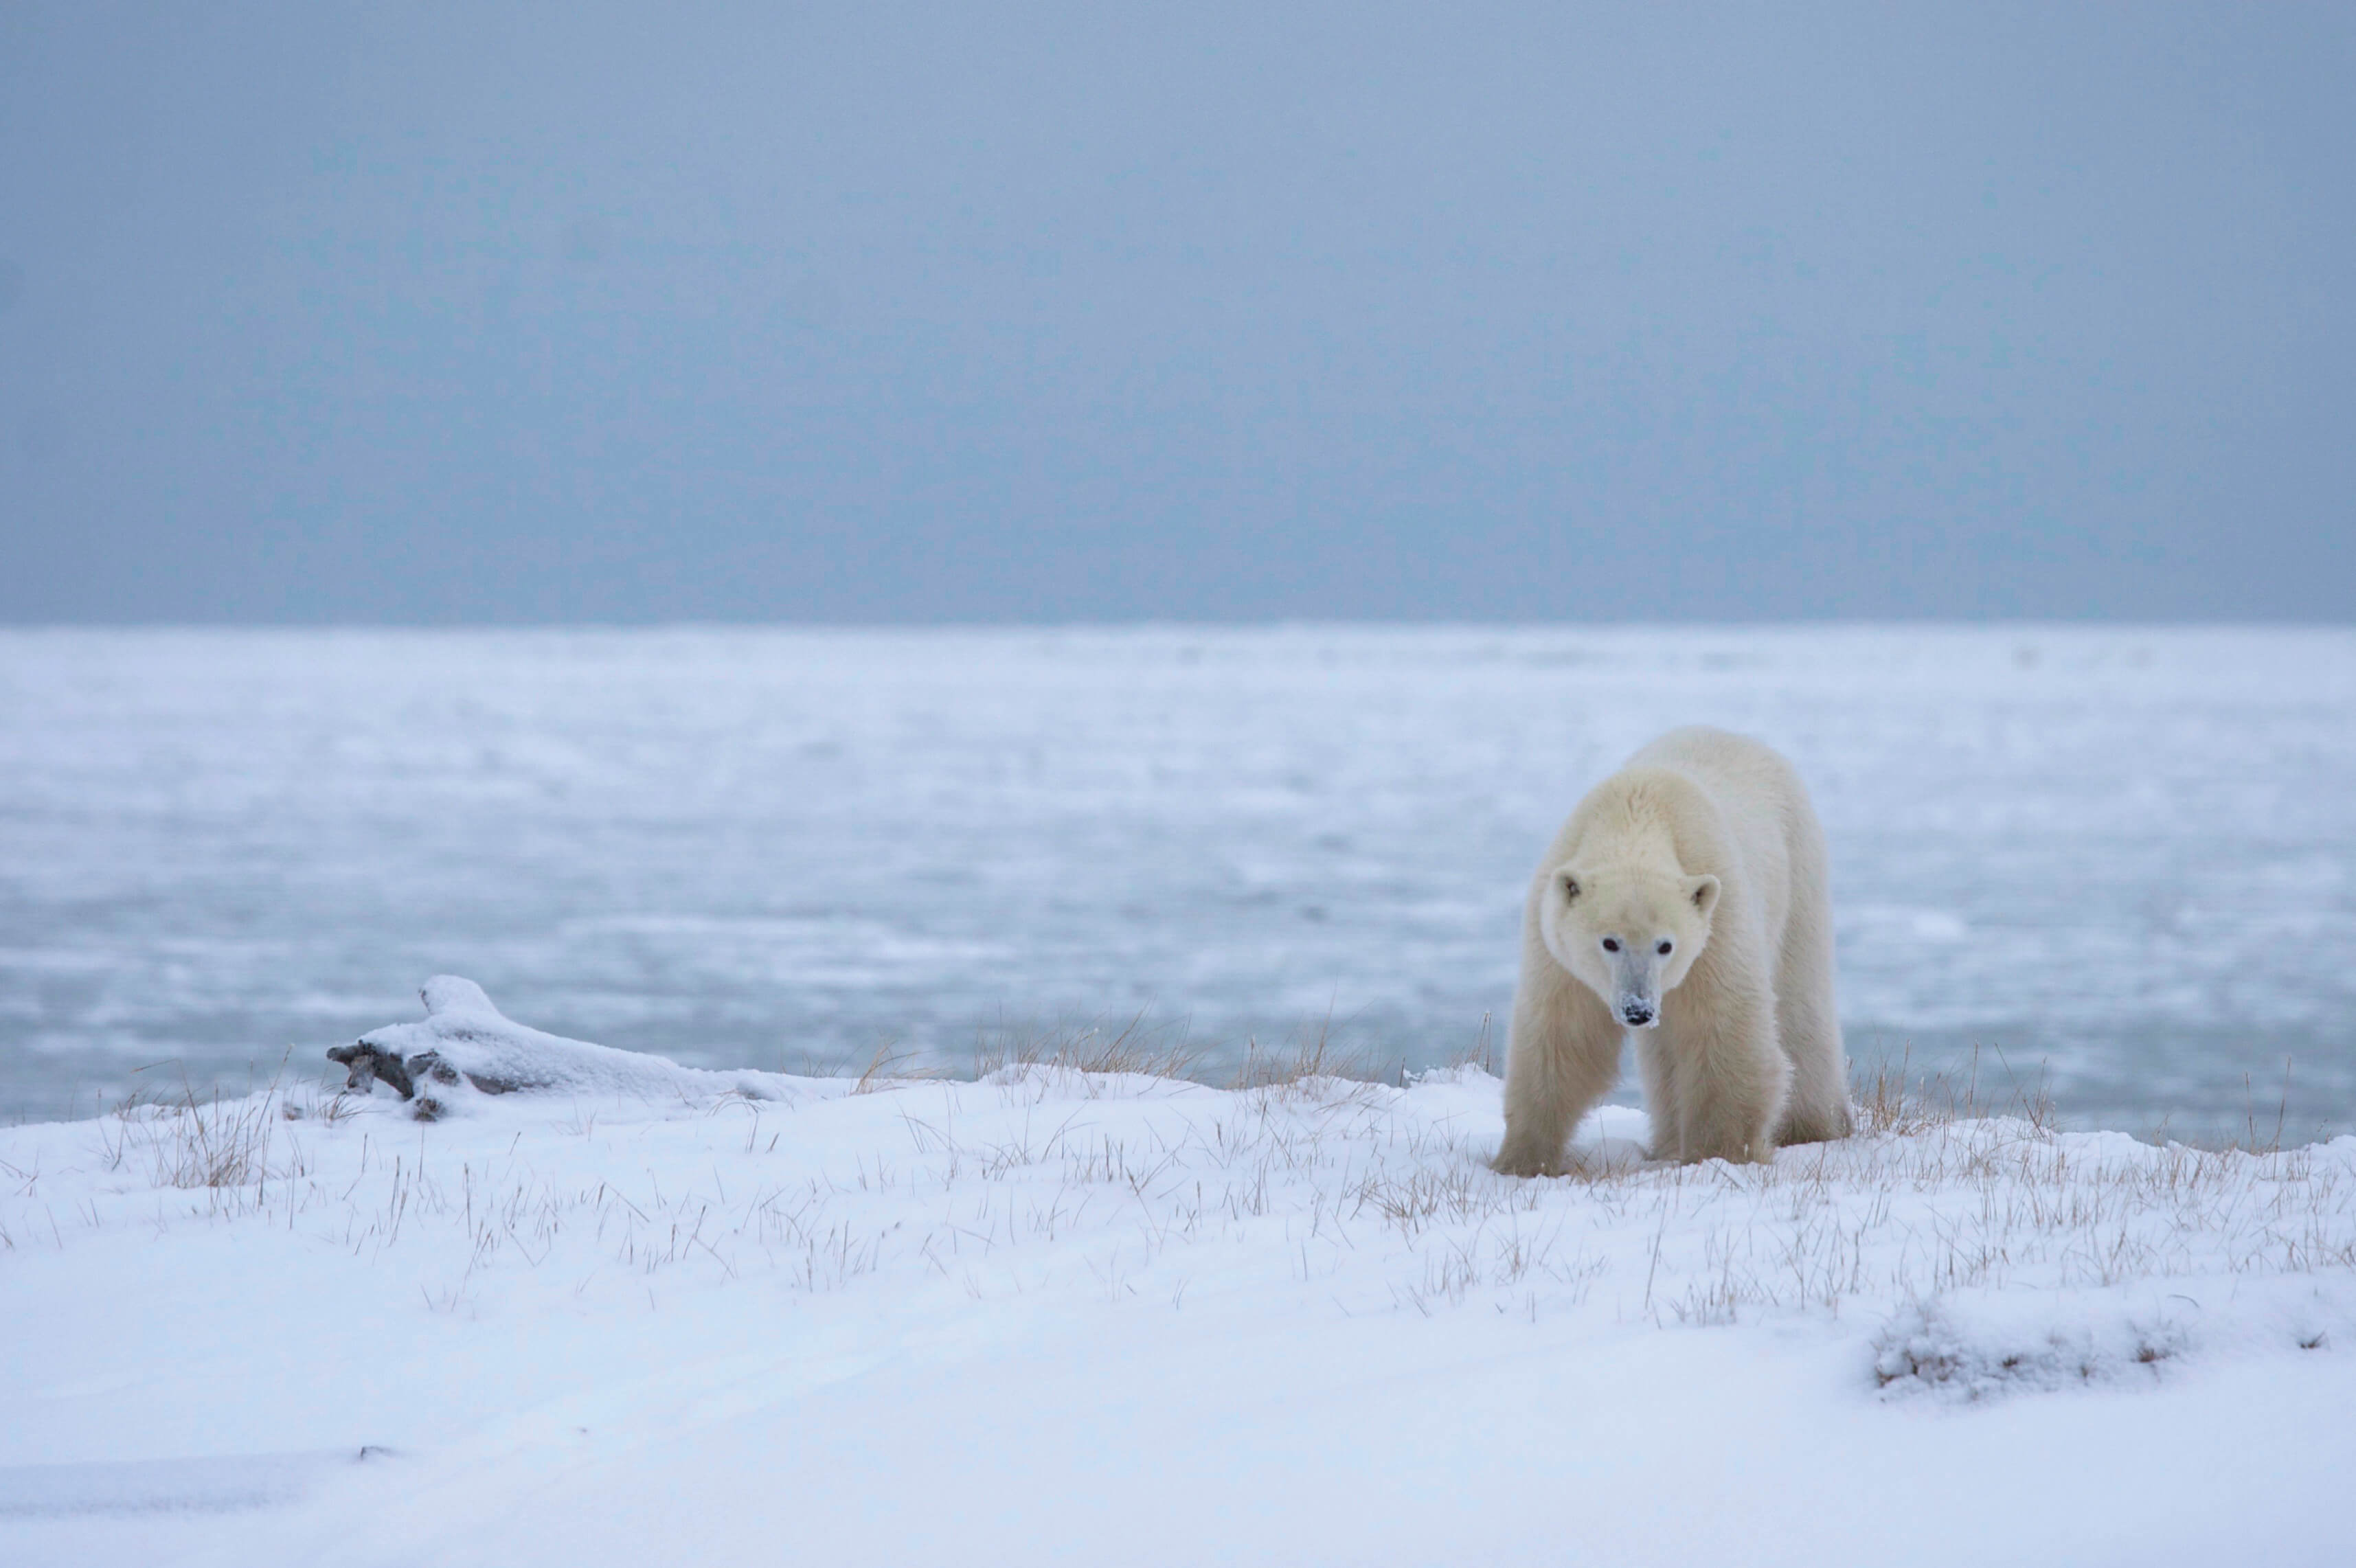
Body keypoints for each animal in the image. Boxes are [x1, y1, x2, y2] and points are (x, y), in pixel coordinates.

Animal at [1488, 725, 1856, 1168]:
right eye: (1609, 942)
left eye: (1665, 945)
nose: (1638, 1010)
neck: (1637, 811)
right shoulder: (1556, 938)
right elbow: (1564, 1033)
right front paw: (1522, 1159)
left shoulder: (1718, 913)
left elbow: (1723, 1024)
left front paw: (1720, 1154)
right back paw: (1666, 1142)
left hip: (1797, 871)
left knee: (1800, 1006)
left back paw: (1812, 1127)